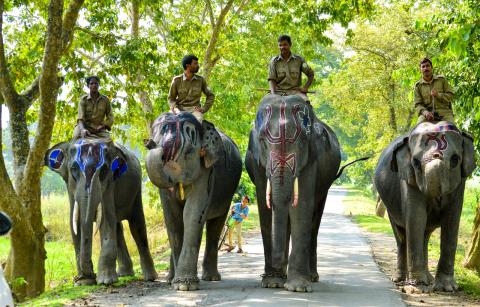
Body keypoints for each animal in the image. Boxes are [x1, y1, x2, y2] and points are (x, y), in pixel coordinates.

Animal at [44, 139, 157, 286]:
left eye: (103, 170)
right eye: (73, 169)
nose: (91, 275)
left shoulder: (109, 185)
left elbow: (106, 222)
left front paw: (105, 281)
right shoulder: (70, 188)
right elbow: (74, 224)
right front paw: (84, 282)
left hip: (136, 191)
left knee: (137, 226)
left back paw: (150, 278)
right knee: (118, 227)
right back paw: (124, 274)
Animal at [143, 112, 242, 292]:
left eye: (189, 151)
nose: (148, 142)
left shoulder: (207, 171)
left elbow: (191, 214)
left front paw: (184, 285)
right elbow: (172, 218)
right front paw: (177, 283)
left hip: (227, 194)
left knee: (216, 226)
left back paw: (211, 278)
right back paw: (170, 279)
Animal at [248, 95, 342, 292]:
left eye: (302, 142)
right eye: (262, 141)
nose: (277, 262)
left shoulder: (311, 159)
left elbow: (302, 207)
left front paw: (298, 287)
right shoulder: (257, 162)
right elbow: (265, 206)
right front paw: (273, 283)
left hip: (326, 184)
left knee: (315, 220)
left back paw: (312, 277)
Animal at [374, 121, 474, 294]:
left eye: (455, 160)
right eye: (415, 162)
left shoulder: (460, 184)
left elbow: (452, 221)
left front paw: (447, 288)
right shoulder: (408, 179)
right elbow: (416, 219)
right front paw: (417, 287)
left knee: (425, 236)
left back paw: (429, 280)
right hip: (389, 206)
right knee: (402, 237)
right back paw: (400, 279)